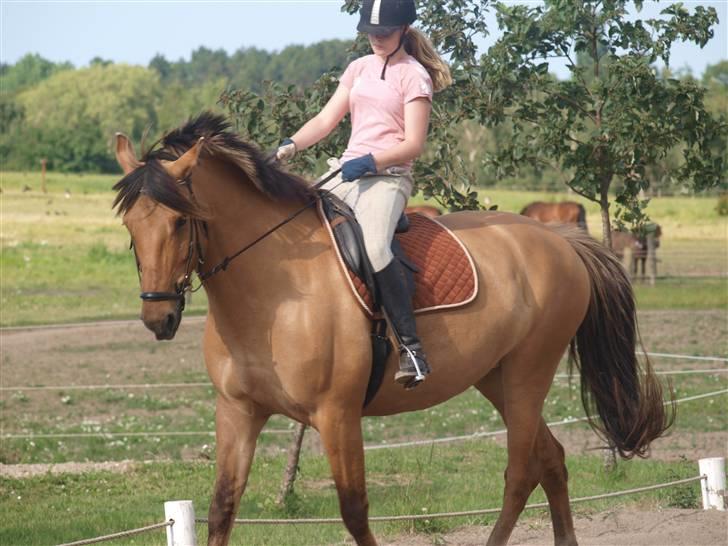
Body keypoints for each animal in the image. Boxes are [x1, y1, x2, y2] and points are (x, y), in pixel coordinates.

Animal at [109, 112, 672, 540]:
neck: (273, 293)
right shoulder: (238, 412)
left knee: (520, 472)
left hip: (527, 375)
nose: (158, 317)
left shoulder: (337, 416)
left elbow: (355, 511)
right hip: (495, 377)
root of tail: (560, 241)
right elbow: (222, 508)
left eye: (180, 221)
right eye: (131, 225)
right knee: (550, 460)